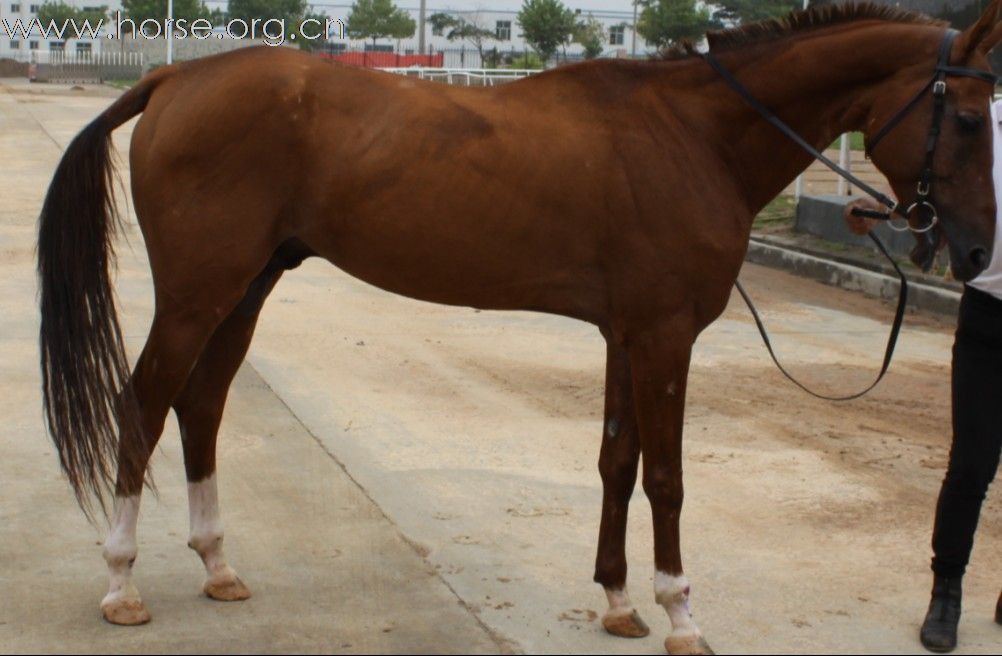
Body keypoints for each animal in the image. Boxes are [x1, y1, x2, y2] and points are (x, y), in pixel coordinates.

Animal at [35, 2, 1002, 652]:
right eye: (965, 117)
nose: (976, 251)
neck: (693, 134)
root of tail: (176, 77)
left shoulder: (627, 335)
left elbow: (618, 462)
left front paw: (618, 603)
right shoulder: (664, 337)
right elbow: (668, 479)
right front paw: (679, 611)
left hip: (245, 291)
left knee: (200, 407)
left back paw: (216, 566)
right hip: (198, 294)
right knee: (143, 404)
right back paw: (121, 582)